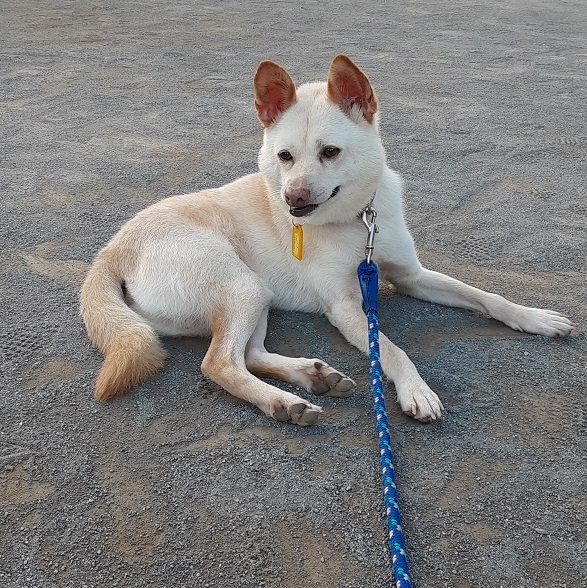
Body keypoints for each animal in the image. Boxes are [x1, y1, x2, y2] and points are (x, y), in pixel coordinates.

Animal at [80, 55, 574, 425]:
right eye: (285, 156)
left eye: (330, 152)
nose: (292, 199)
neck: (358, 223)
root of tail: (111, 251)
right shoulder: (346, 307)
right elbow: (391, 349)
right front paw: (416, 390)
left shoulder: (411, 276)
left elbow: (486, 296)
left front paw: (534, 317)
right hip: (242, 286)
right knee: (219, 363)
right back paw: (283, 402)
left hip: (256, 294)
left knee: (250, 354)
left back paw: (312, 378)